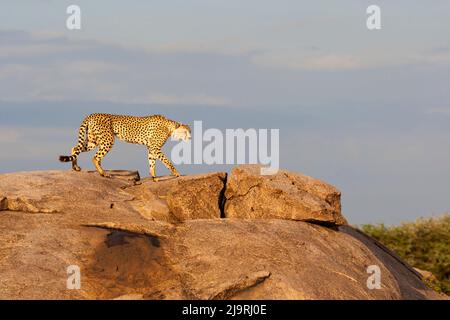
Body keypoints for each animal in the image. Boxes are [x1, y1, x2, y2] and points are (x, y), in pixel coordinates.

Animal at [58, 113, 190, 180]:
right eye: (186, 132)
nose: (190, 138)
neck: (170, 127)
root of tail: (92, 114)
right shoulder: (155, 148)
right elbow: (167, 161)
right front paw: (176, 173)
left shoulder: (151, 148)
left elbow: (151, 162)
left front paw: (154, 177)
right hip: (108, 140)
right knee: (95, 157)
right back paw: (103, 173)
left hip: (93, 140)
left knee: (75, 148)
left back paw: (76, 167)